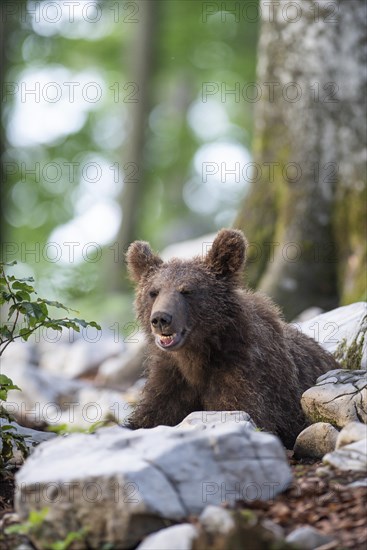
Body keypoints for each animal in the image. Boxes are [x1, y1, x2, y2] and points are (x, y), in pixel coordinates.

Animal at [126, 229, 340, 448]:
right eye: (153, 292)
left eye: (187, 290)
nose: (160, 318)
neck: (196, 356)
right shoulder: (170, 378)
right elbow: (148, 417)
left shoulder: (244, 374)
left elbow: (247, 413)